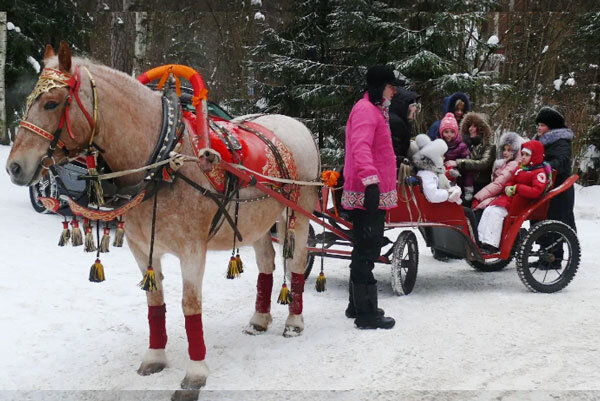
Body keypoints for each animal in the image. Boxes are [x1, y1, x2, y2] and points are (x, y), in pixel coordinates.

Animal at [4, 42, 322, 390]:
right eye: (29, 101)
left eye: (51, 103)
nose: (14, 167)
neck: (164, 160)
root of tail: (299, 126)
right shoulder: (143, 248)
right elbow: (154, 301)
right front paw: (155, 357)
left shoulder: (193, 250)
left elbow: (190, 304)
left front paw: (196, 371)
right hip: (257, 222)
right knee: (267, 262)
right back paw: (259, 320)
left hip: (298, 213)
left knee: (296, 262)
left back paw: (294, 321)